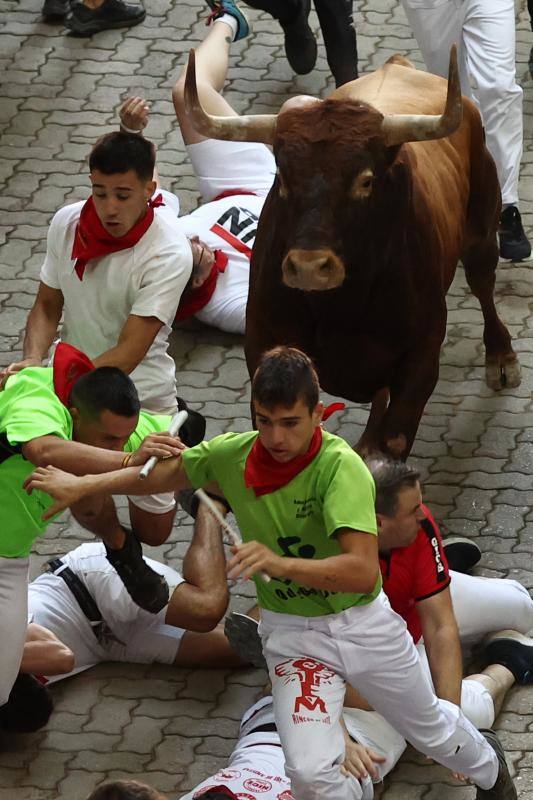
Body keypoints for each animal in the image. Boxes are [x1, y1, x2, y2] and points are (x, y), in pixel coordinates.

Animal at [184, 50, 520, 460]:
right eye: (283, 177)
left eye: (366, 180)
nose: (309, 267)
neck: (341, 306)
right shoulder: (265, 342)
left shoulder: (421, 358)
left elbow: (394, 441)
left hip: (482, 228)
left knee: (483, 283)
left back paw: (501, 357)